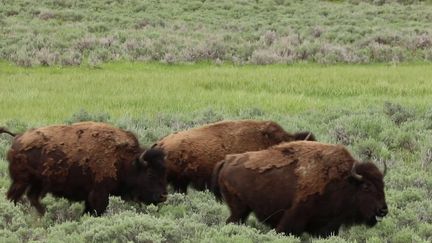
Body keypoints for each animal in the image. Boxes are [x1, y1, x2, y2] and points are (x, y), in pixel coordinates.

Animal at [0, 121, 168, 216]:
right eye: (150, 174)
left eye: (163, 172)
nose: (163, 196)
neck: (125, 160)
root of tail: (18, 137)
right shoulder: (99, 194)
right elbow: (97, 210)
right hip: (21, 181)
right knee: (13, 197)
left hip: (38, 183)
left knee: (32, 197)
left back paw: (44, 214)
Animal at [213, 140, 388, 237]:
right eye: (366, 186)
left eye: (382, 185)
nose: (383, 210)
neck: (345, 181)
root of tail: (227, 160)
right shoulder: (293, 219)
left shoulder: (329, 226)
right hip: (239, 210)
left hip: (242, 211)